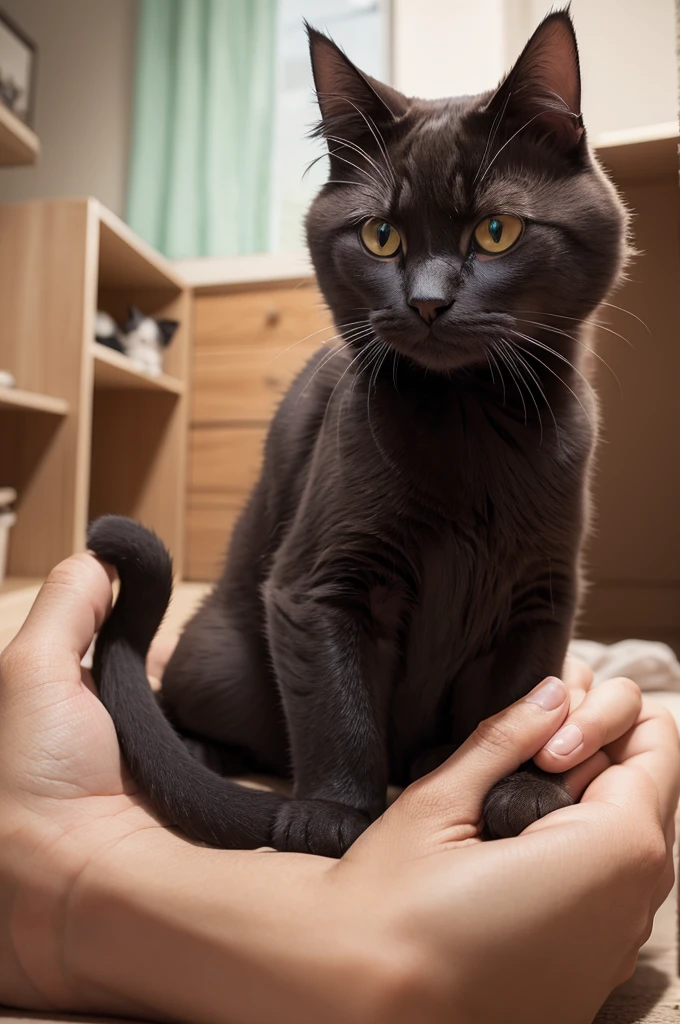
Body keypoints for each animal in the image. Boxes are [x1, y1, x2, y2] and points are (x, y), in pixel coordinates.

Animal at [87, 9, 630, 856]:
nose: (428, 301)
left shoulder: (543, 593)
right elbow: (334, 706)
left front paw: (522, 787)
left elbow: (521, 695)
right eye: (380, 236)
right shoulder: (317, 585)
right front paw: (330, 814)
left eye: (496, 231)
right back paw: (205, 752)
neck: (469, 425)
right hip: (219, 657)